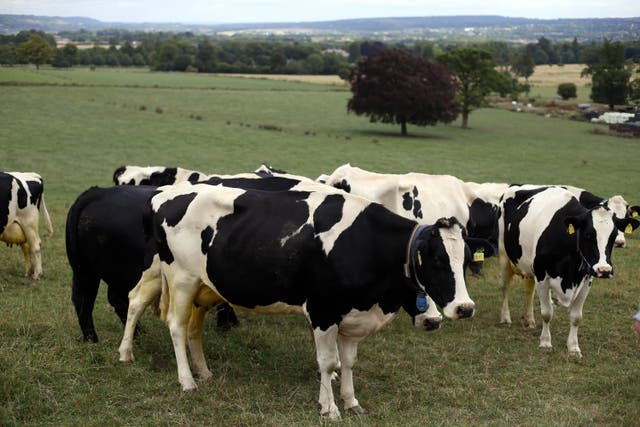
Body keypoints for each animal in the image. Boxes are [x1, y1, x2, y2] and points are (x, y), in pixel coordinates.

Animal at [146, 183, 496, 422]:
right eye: (435, 261)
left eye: (466, 259)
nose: (464, 308)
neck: (366, 243)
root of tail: (167, 195)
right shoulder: (323, 311)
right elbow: (328, 363)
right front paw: (329, 408)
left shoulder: (353, 316)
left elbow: (349, 362)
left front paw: (351, 402)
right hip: (181, 278)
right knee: (177, 327)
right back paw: (187, 381)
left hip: (204, 286)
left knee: (194, 329)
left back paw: (203, 372)